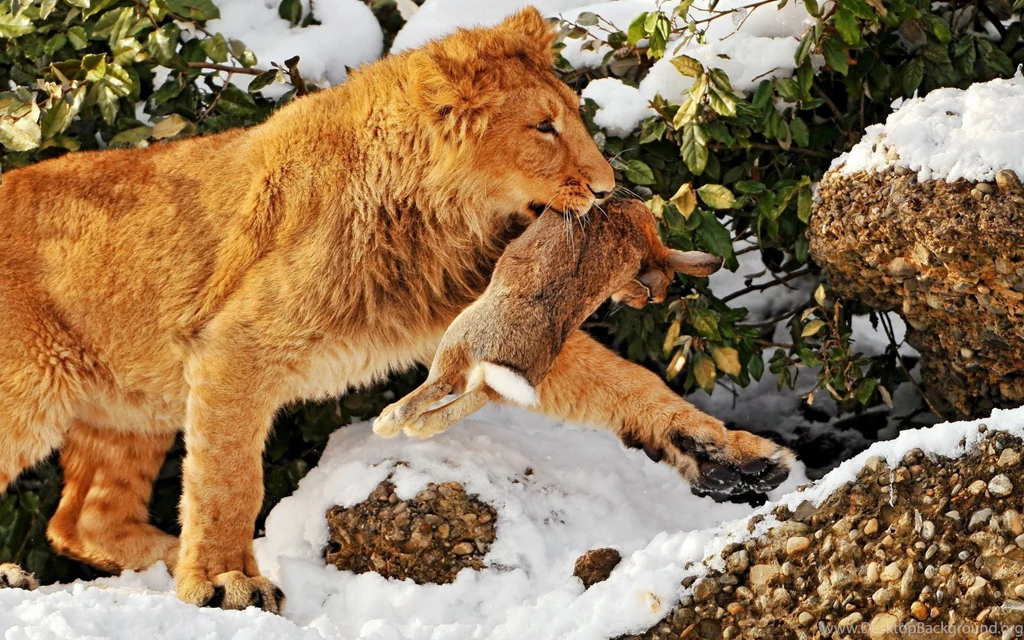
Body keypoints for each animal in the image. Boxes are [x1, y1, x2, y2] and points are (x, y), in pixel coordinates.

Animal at [372, 197, 723, 439]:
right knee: (467, 403)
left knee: (438, 386)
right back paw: (417, 428)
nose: (641, 301)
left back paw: (388, 422)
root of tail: (508, 359)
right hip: (499, 378)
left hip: (458, 336)